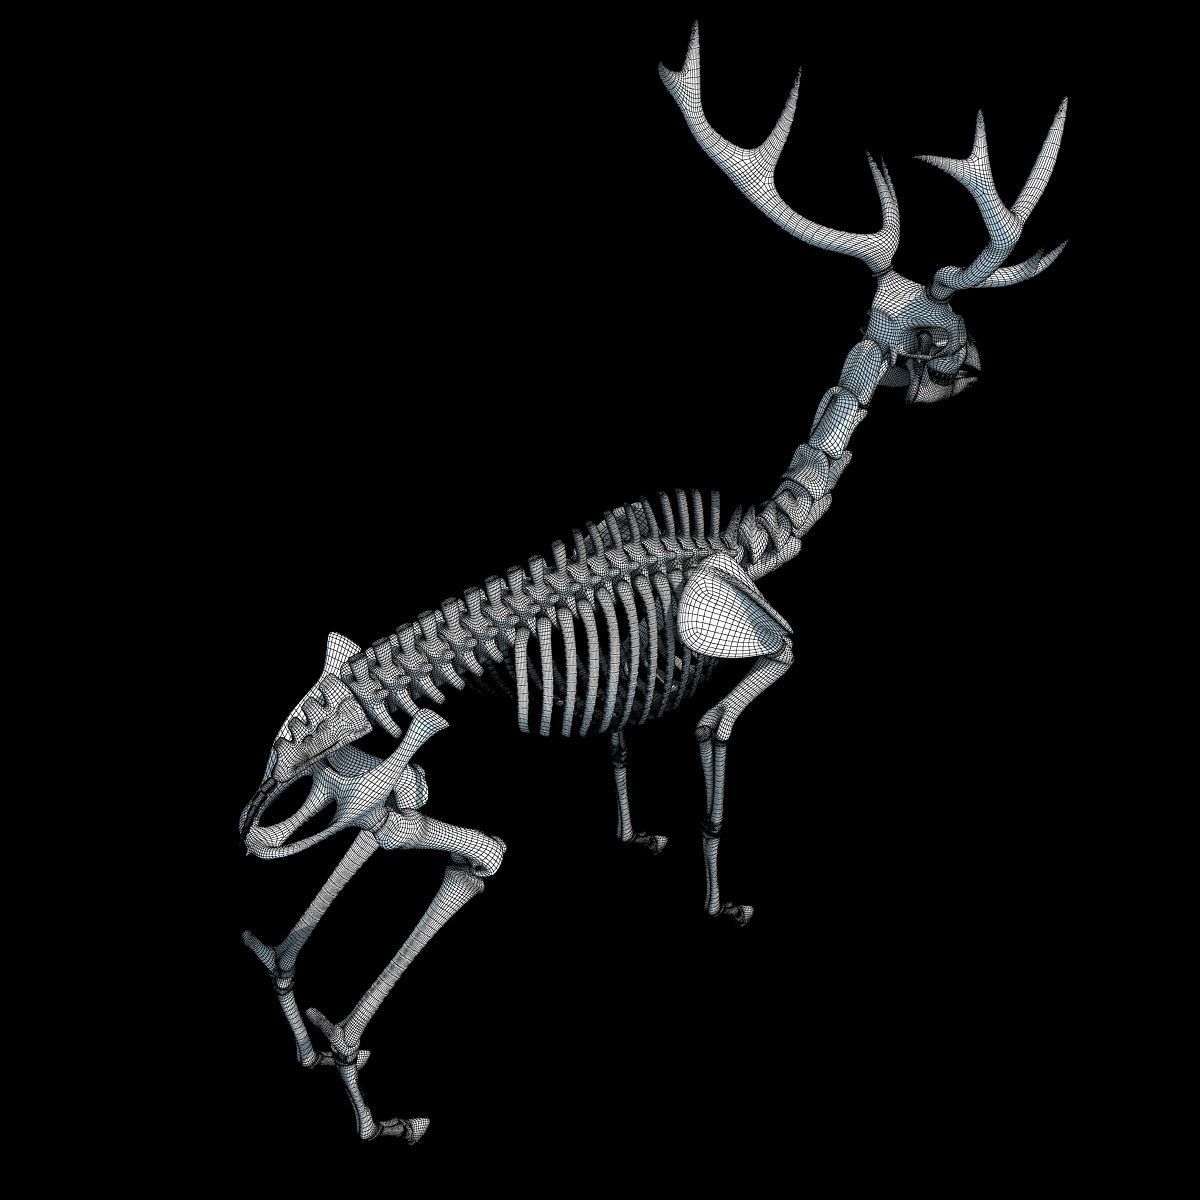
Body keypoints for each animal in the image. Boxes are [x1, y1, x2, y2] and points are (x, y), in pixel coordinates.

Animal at [239, 21, 1068, 1144]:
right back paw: (370, 1098)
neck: (763, 528)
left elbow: (625, 739)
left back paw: (308, 1035)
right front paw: (722, 899)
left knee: (356, 849)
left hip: (340, 772)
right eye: (932, 331)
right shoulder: (761, 640)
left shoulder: (630, 667)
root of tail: (301, 727)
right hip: (358, 780)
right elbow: (718, 727)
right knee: (453, 846)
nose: (972, 371)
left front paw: (638, 835)